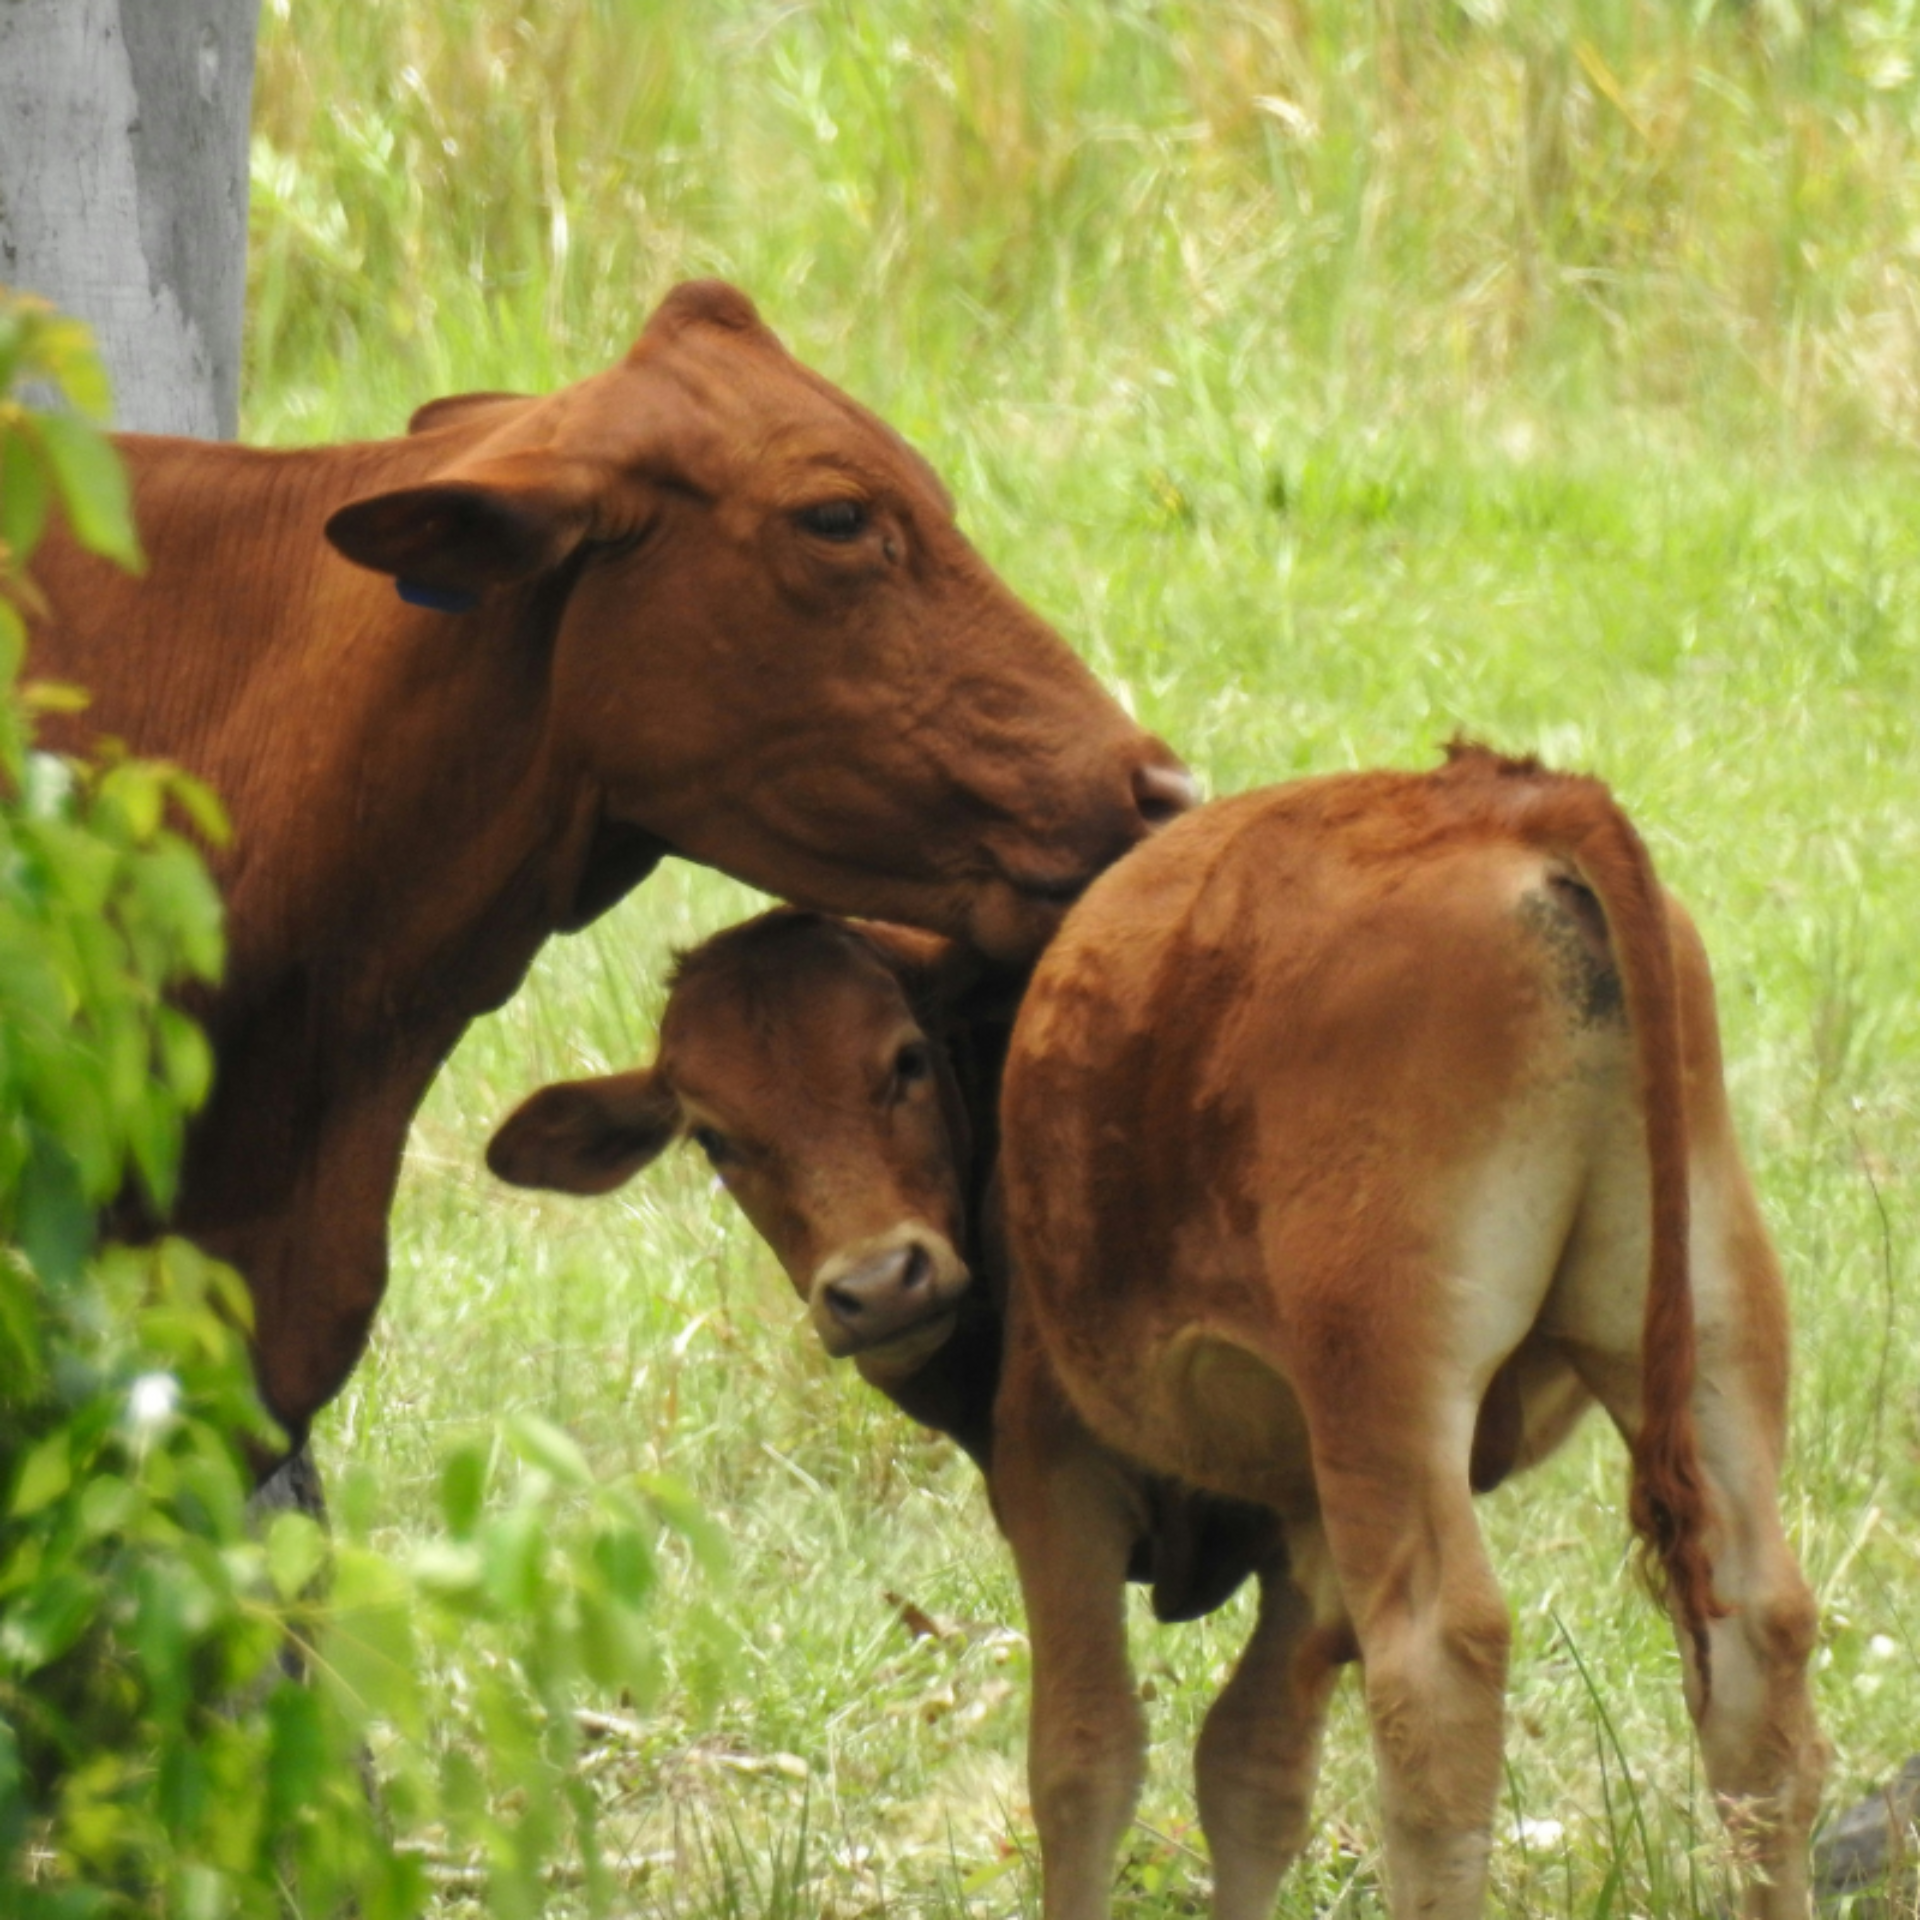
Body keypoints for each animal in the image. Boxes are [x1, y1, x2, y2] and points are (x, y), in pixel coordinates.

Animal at [490, 746, 1825, 1920]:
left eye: (904, 1062)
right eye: (716, 1136)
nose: (879, 1285)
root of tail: (1511, 807)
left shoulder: (1058, 1472)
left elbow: (1084, 1764)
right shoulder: (1300, 1515)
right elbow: (1252, 1773)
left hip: (1384, 1396)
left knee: (1438, 1680)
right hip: (1706, 1337)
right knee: (1758, 1654)